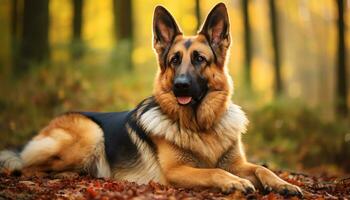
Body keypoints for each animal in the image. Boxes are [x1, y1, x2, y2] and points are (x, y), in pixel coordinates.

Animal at [0, 2, 302, 197]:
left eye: (199, 59)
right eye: (174, 60)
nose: (180, 86)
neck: (202, 128)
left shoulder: (237, 163)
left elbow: (261, 168)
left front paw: (282, 184)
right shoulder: (176, 171)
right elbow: (213, 172)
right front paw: (235, 183)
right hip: (89, 132)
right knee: (27, 167)